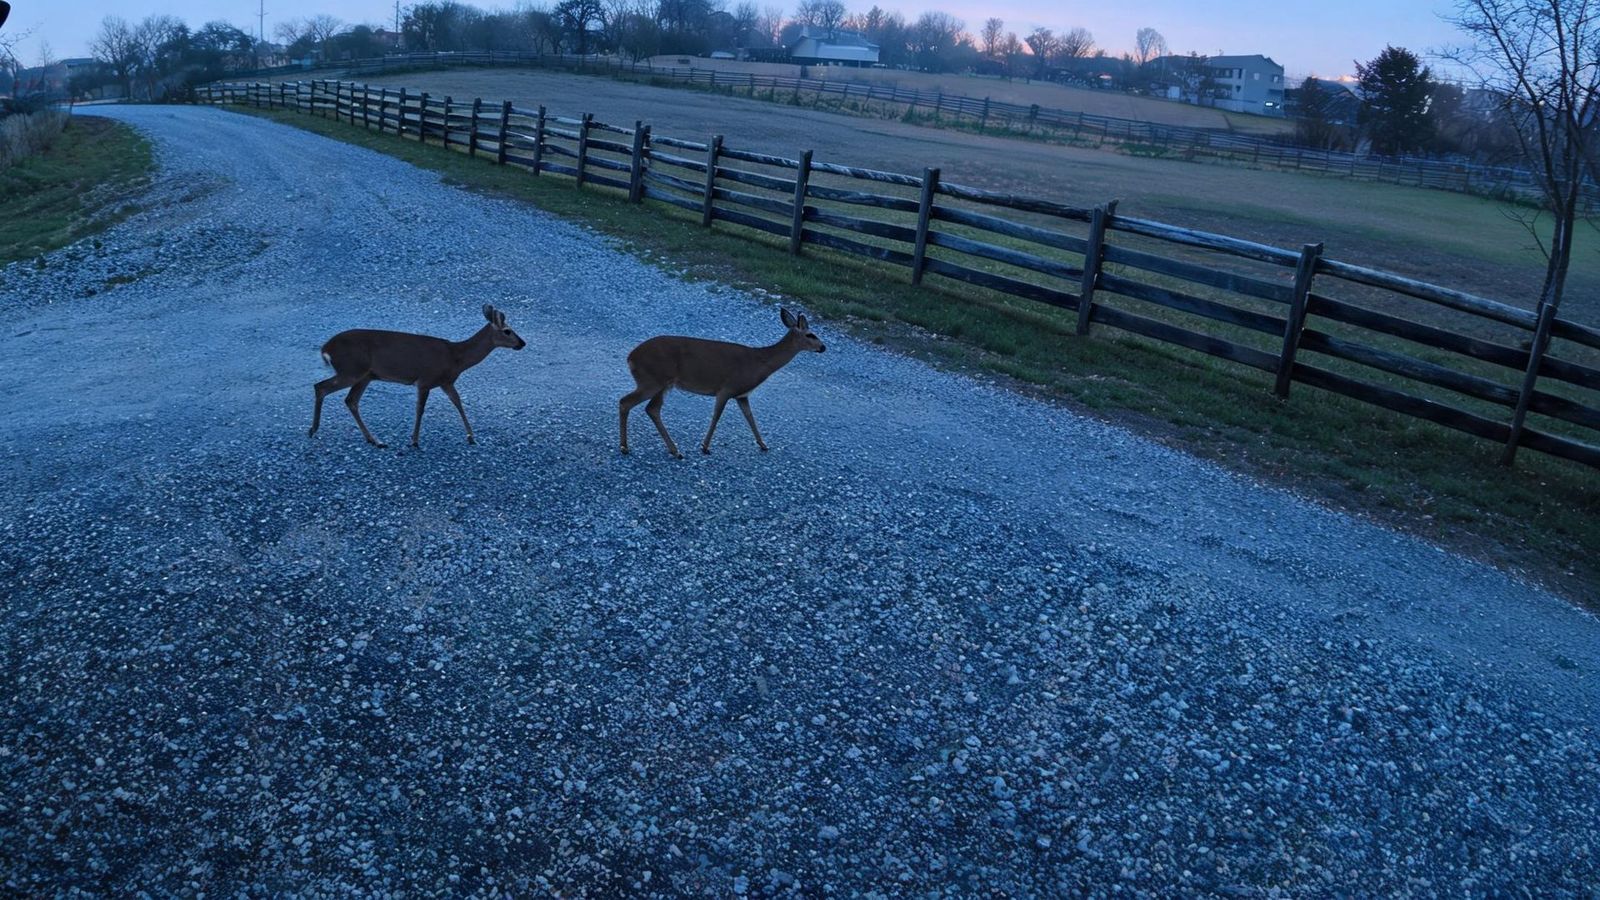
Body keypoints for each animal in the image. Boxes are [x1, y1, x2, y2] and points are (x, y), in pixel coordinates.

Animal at [309, 304, 526, 449]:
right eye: (508, 331)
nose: (522, 343)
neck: (455, 356)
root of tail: (325, 348)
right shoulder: (425, 379)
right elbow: (419, 410)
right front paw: (414, 440)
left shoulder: (446, 382)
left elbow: (458, 403)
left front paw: (471, 437)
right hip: (351, 370)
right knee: (321, 387)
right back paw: (314, 430)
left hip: (365, 375)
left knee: (350, 400)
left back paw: (374, 440)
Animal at [620, 307, 826, 458]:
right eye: (811, 335)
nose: (823, 347)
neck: (759, 362)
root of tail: (630, 357)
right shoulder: (726, 388)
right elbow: (717, 416)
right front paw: (705, 447)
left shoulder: (742, 395)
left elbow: (750, 417)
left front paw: (763, 444)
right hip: (652, 380)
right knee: (626, 402)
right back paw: (625, 447)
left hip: (661, 384)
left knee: (652, 409)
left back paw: (675, 450)